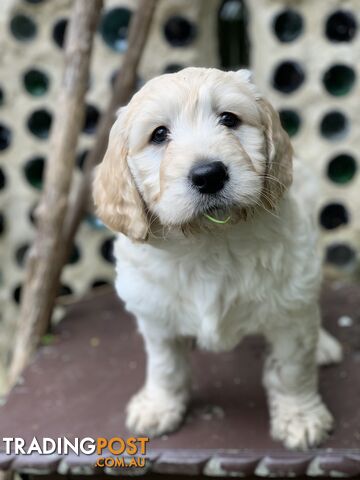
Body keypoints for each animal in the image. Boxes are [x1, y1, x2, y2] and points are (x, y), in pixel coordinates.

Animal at [92, 66, 340, 450]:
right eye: (159, 134)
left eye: (229, 119)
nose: (208, 175)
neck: (209, 241)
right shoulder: (155, 314)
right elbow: (165, 367)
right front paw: (158, 407)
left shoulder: (289, 312)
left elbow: (292, 369)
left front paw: (301, 417)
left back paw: (324, 344)